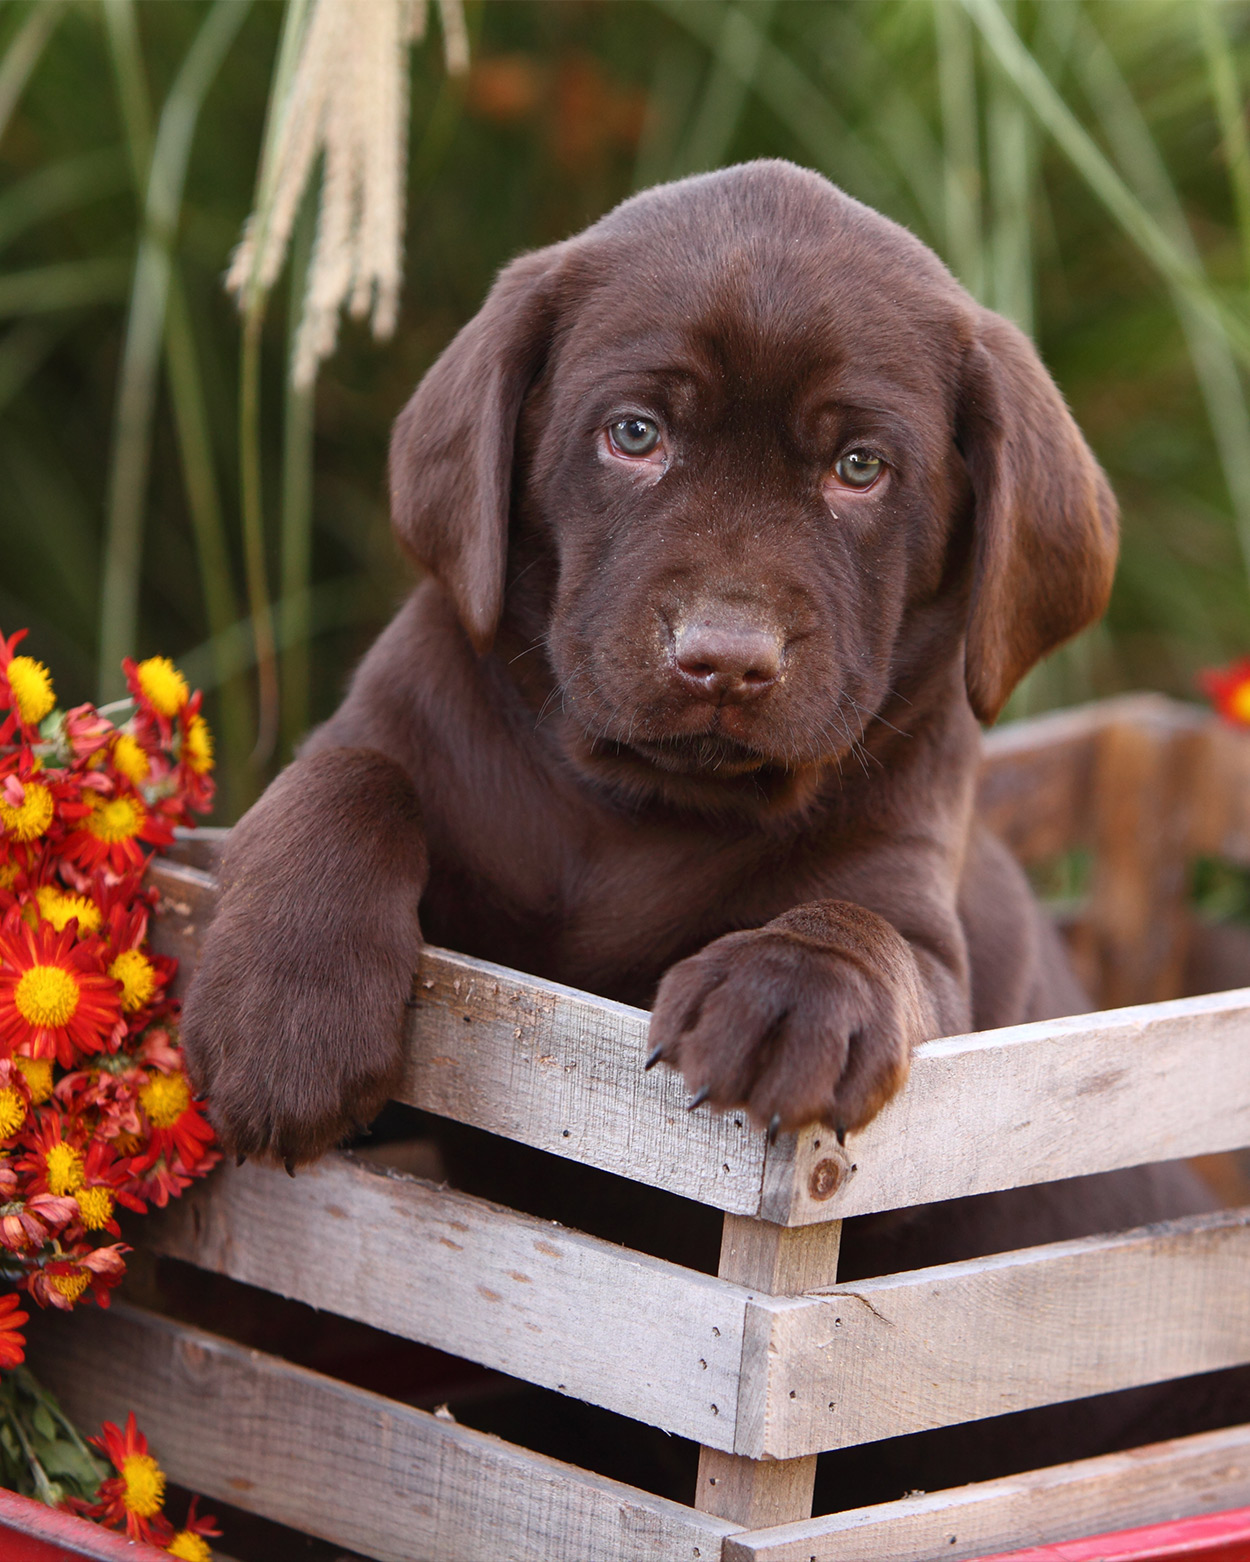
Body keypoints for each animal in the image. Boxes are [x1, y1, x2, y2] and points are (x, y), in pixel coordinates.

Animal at [180, 164, 1118, 1174]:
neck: (636, 807)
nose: (727, 660)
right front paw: (287, 1014)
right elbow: (342, 774)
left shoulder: (932, 943)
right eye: (634, 435)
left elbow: (869, 928)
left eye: (860, 466)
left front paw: (793, 989)